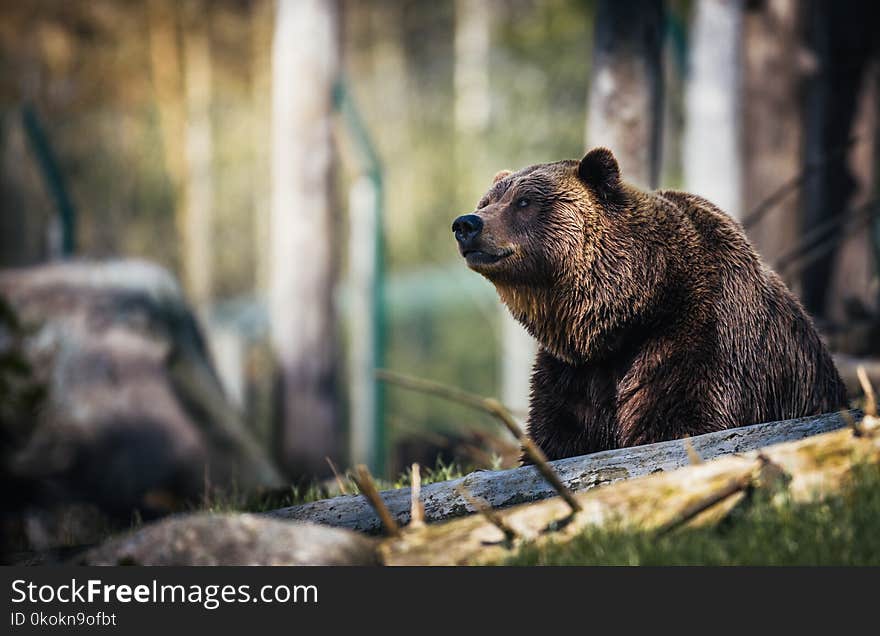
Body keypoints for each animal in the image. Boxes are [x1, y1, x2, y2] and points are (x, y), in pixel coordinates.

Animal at [454, 147, 844, 460]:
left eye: (524, 202)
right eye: (487, 202)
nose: (466, 224)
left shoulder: (700, 336)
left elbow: (681, 420)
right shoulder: (574, 373)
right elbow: (558, 436)